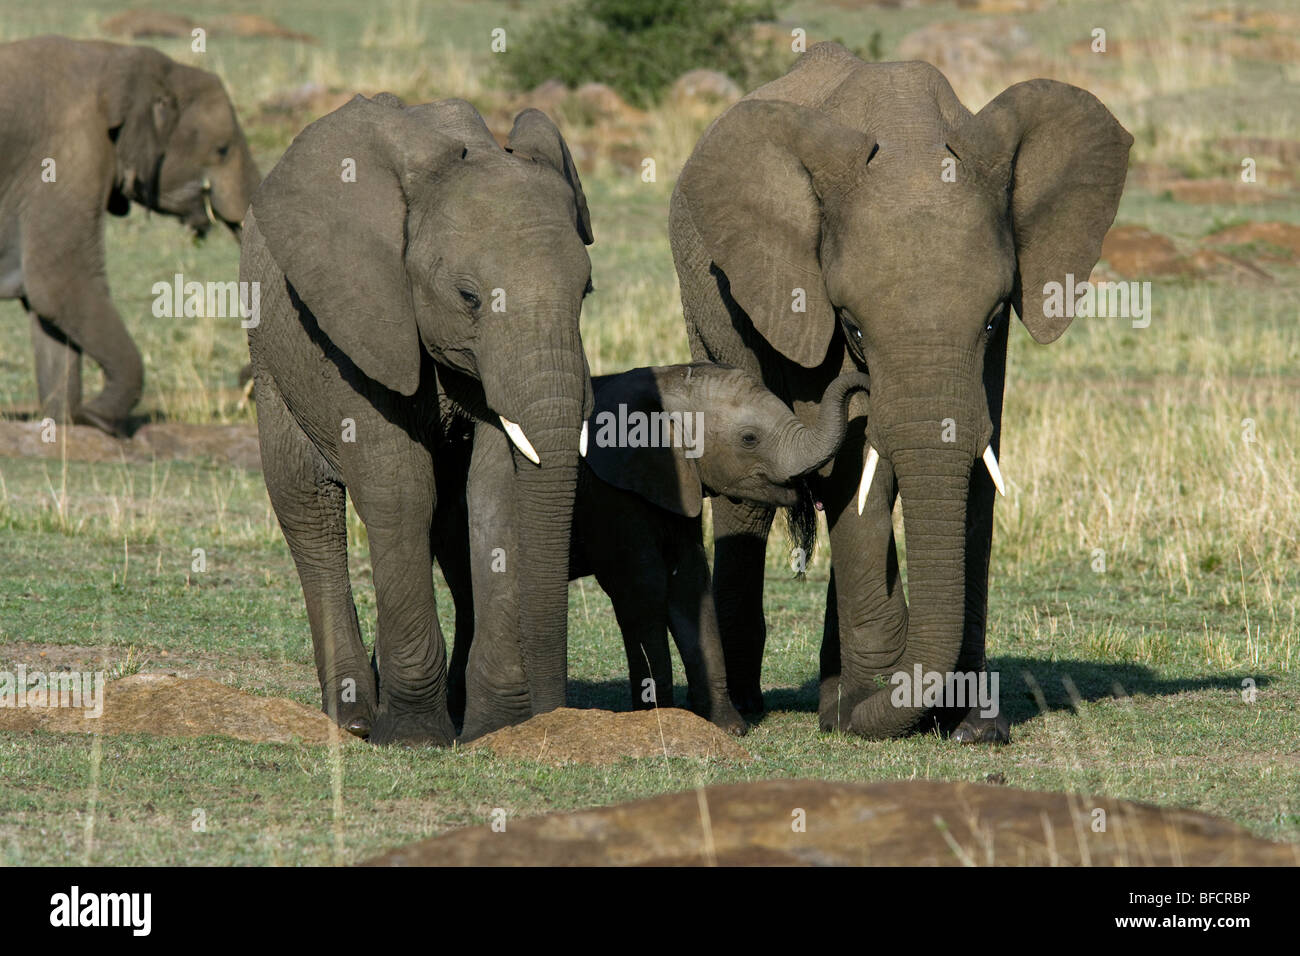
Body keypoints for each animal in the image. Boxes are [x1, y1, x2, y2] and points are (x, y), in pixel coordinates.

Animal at [0, 36, 261, 436]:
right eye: (222, 150)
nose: (244, 381)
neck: (119, 58)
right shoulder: (69, 157)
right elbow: (60, 286)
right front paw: (98, 418)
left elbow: (49, 312)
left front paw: (66, 423)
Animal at [243, 93, 595, 746]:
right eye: (470, 298)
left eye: (585, 293)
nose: (554, 717)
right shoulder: (360, 316)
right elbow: (400, 489)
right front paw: (412, 737)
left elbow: (495, 493)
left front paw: (493, 729)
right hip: (273, 357)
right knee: (306, 506)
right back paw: (356, 718)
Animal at [438, 363, 871, 738]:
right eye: (749, 438)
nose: (864, 382)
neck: (669, 381)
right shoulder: (611, 493)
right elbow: (643, 588)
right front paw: (658, 720)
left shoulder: (679, 485)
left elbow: (691, 586)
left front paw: (727, 727)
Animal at [669, 42, 1132, 742]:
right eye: (853, 327)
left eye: (993, 318)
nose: (863, 382)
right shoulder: (803, 296)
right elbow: (854, 468)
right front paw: (868, 711)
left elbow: (976, 459)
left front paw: (974, 728)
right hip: (708, 303)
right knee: (751, 493)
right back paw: (755, 708)